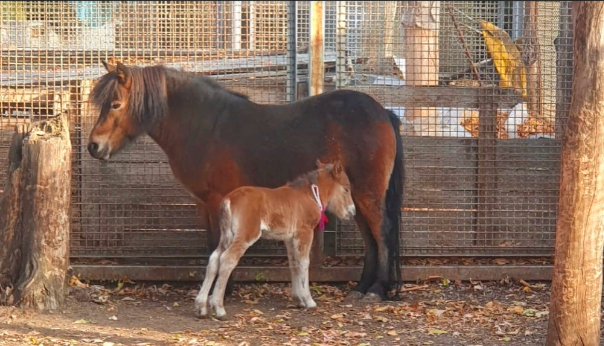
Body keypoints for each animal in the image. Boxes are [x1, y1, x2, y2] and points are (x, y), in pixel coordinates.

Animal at [87, 61, 404, 302]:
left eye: (115, 104)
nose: (93, 146)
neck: (205, 127)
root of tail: (383, 112)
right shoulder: (205, 204)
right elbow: (213, 246)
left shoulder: (219, 200)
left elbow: (220, 244)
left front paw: (222, 292)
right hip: (354, 195)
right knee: (370, 236)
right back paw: (361, 288)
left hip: (367, 191)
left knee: (383, 231)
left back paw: (377, 290)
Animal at [196, 159, 356, 318]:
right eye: (346, 189)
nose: (352, 212)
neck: (308, 195)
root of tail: (229, 199)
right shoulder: (305, 232)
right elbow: (304, 263)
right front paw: (309, 300)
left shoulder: (290, 238)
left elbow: (294, 263)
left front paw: (298, 299)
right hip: (245, 235)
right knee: (227, 259)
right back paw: (218, 307)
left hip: (226, 236)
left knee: (214, 258)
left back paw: (201, 306)